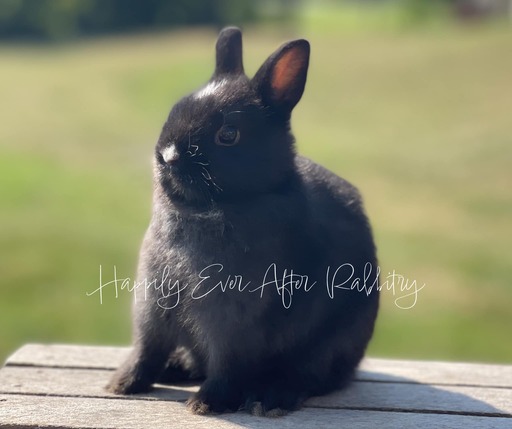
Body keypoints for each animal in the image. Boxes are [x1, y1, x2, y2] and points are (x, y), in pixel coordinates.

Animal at [107, 25, 380, 414]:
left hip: (331, 345)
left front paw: (206, 404)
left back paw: (270, 399)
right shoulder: (153, 306)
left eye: (228, 134)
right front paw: (122, 384)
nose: (168, 156)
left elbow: (227, 364)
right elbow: (147, 351)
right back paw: (178, 367)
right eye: (175, 110)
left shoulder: (234, 321)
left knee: (311, 378)